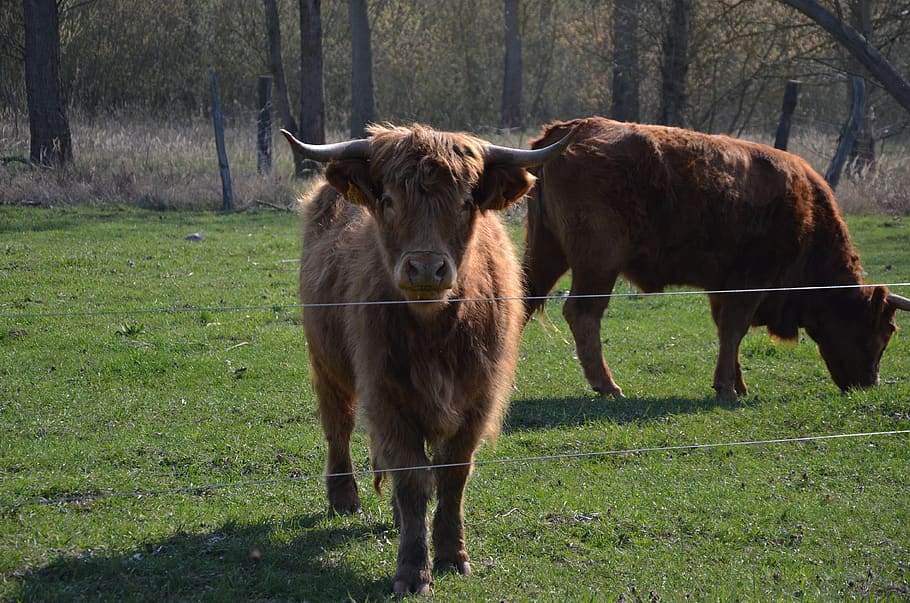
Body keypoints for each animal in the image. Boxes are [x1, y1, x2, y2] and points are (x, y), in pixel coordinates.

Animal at [281, 124, 572, 595]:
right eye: (388, 200)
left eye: (466, 203)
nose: (425, 268)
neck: (436, 333)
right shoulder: (387, 396)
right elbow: (413, 479)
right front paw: (413, 570)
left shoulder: (477, 401)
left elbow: (452, 476)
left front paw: (453, 555)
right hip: (327, 364)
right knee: (337, 426)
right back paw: (344, 498)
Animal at [522, 116, 910, 402]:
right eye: (884, 331)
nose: (868, 385)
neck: (808, 216)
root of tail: (569, 130)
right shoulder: (750, 283)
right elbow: (733, 329)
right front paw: (727, 389)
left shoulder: (722, 288)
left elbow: (728, 333)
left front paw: (737, 383)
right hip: (598, 263)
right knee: (583, 313)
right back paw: (608, 386)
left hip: (546, 252)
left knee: (525, 301)